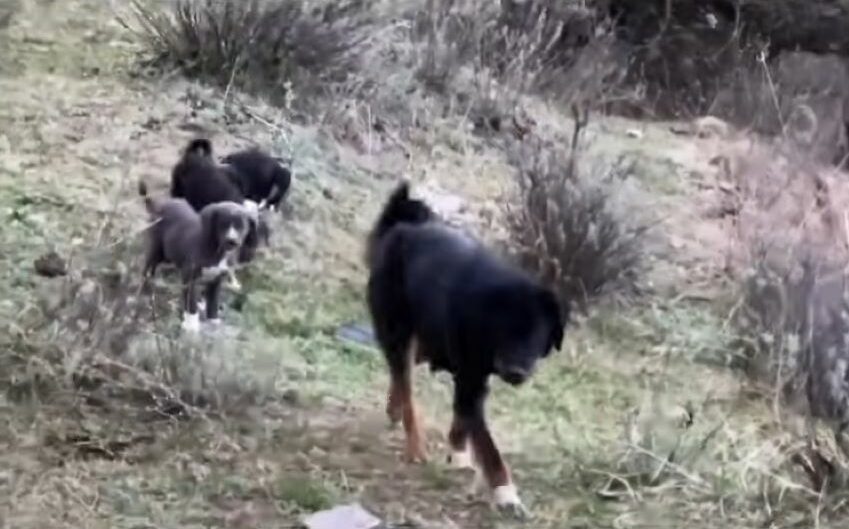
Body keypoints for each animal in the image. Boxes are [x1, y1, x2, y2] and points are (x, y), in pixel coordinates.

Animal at [138, 179, 252, 332]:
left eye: (241, 226)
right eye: (223, 224)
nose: (232, 241)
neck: (217, 250)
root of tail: (159, 206)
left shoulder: (217, 279)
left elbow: (213, 300)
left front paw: (213, 319)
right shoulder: (190, 276)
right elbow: (190, 301)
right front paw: (191, 325)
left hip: (169, 252)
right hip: (157, 249)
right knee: (148, 268)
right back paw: (146, 289)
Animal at [362, 183, 568, 516]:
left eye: (537, 334)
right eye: (506, 330)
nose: (516, 371)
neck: (487, 310)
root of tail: (400, 227)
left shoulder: (473, 378)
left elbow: (463, 417)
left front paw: (457, 452)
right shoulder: (471, 378)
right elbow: (487, 443)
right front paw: (505, 492)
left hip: (425, 341)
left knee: (402, 375)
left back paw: (394, 408)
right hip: (399, 333)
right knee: (405, 383)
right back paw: (414, 444)